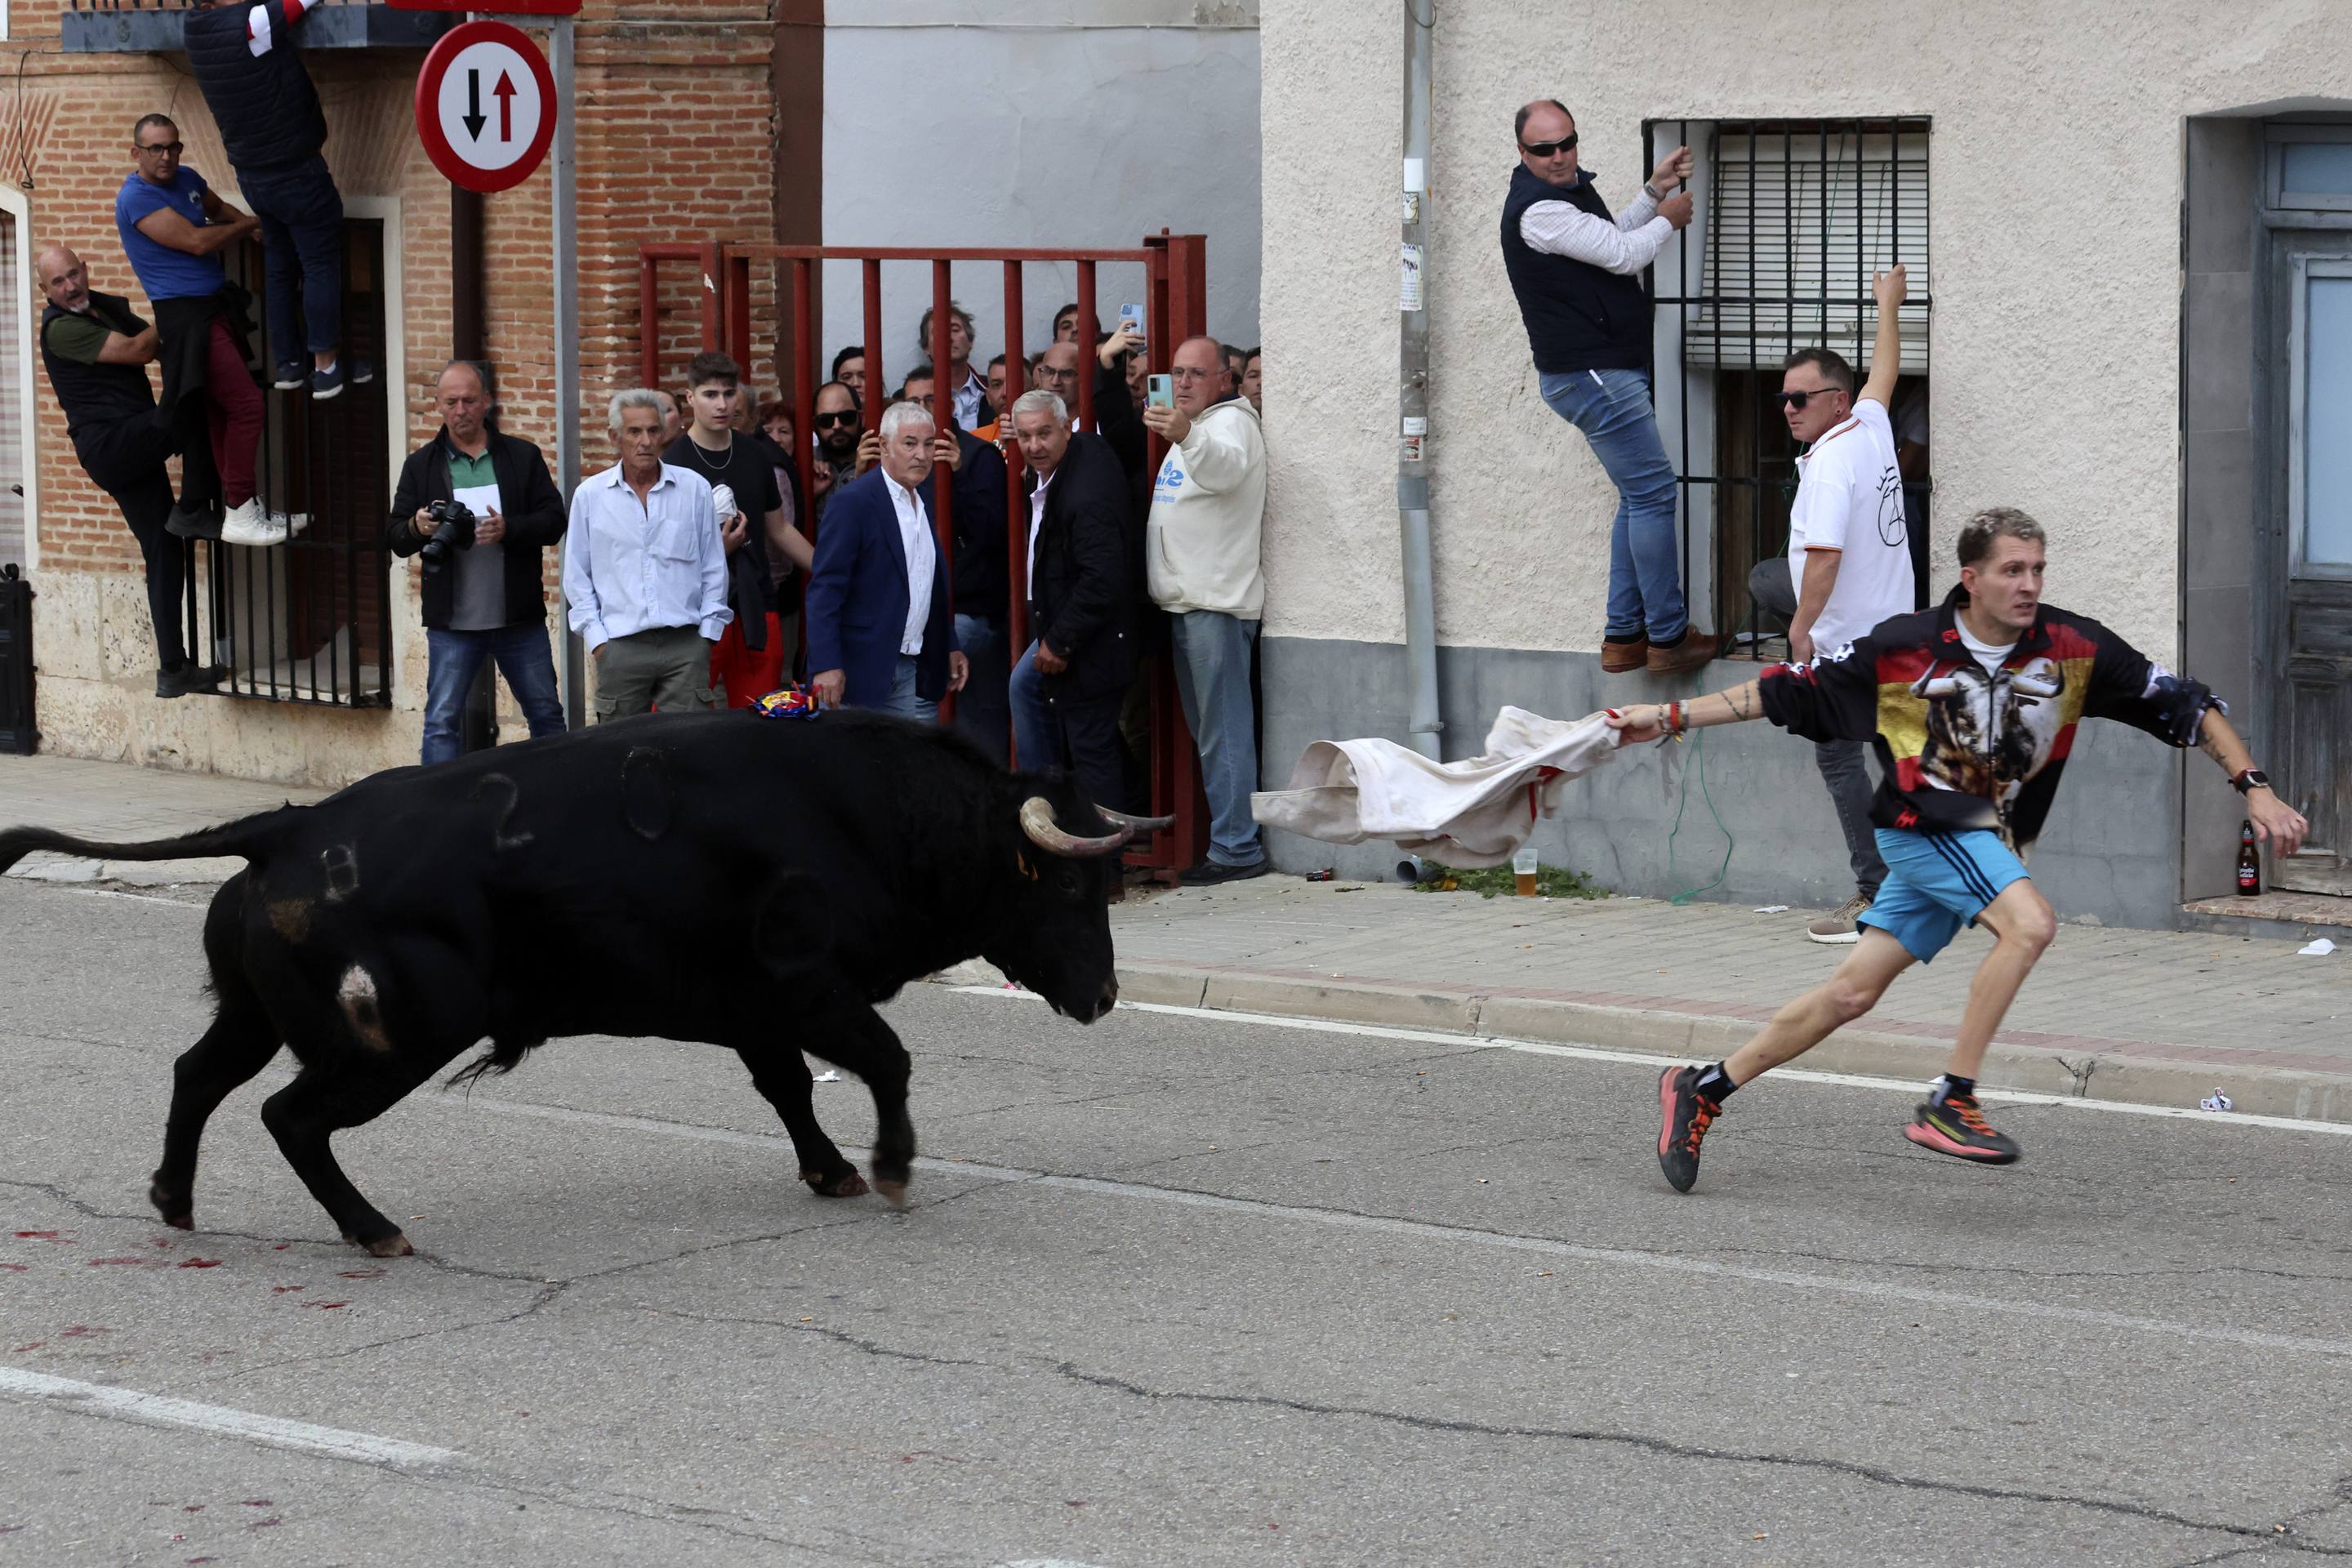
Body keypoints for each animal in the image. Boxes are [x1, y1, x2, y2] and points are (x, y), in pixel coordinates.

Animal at [0, 719, 1166, 1259]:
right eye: (1071, 883)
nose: (1108, 996)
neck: (863, 816)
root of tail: (285, 827)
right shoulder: (811, 991)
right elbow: (886, 1061)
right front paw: (887, 1169)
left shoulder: (754, 1012)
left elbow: (790, 1091)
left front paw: (833, 1171)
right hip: (395, 1039)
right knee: (293, 1118)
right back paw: (374, 1229)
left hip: (259, 1014)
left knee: (199, 1075)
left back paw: (174, 1199)